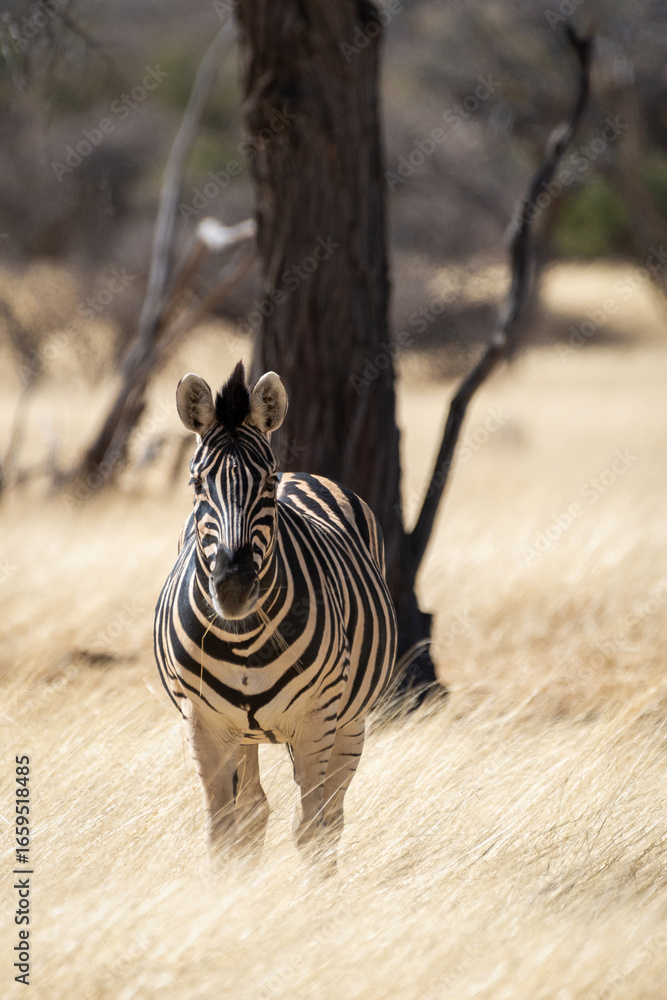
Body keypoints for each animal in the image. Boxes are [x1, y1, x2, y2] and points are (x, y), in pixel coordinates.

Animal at [154, 361, 397, 871]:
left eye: (266, 483)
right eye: (197, 484)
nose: (233, 587)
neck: (244, 637)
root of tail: (302, 472)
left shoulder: (317, 718)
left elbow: (310, 830)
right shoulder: (203, 724)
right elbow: (223, 832)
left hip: (350, 721)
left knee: (331, 816)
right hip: (243, 734)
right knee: (254, 810)